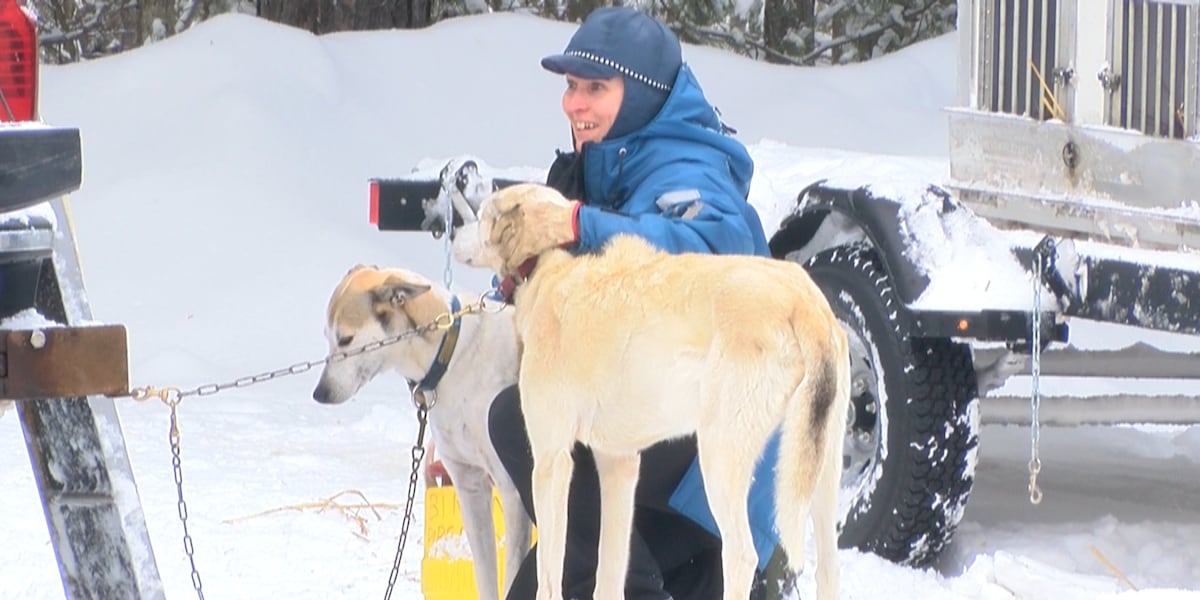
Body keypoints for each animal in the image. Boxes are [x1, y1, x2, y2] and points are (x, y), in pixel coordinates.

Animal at [314, 266, 530, 600]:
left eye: (346, 339)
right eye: (327, 337)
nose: (319, 393)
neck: (451, 357)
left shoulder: (511, 491)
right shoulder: (469, 486)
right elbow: (485, 576)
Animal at [453, 182, 849, 600]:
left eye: (482, 215)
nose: (452, 232)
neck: (546, 267)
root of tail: (803, 301)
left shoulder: (551, 460)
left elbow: (549, 576)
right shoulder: (619, 464)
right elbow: (609, 574)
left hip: (719, 460)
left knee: (741, 556)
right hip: (819, 470)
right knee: (827, 565)